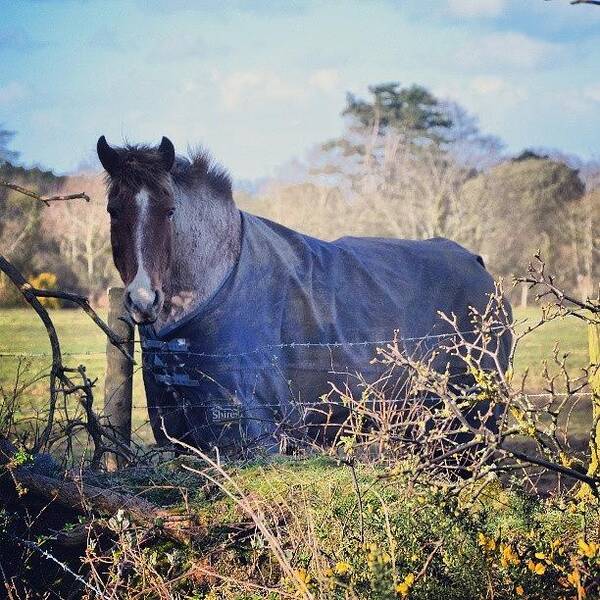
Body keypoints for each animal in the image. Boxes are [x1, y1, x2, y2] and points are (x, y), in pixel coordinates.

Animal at [97, 135, 510, 454]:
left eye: (169, 210)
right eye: (113, 210)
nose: (143, 300)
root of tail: (478, 265)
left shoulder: (258, 441)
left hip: (475, 426)